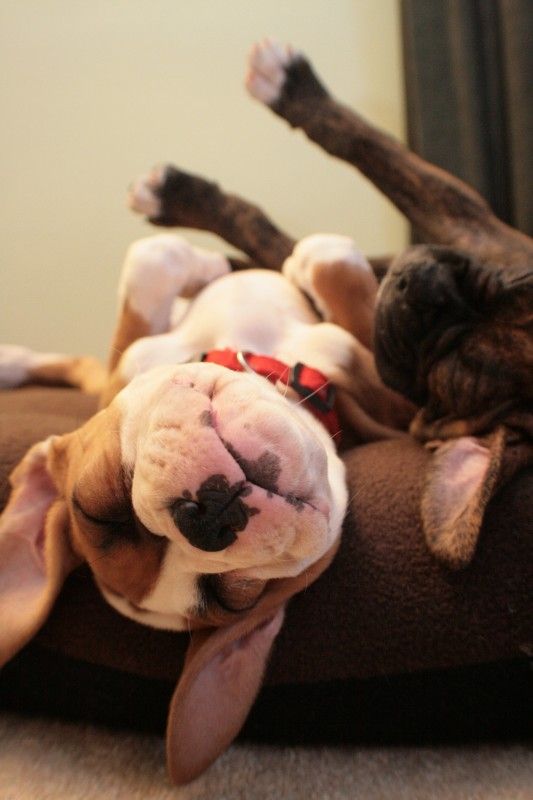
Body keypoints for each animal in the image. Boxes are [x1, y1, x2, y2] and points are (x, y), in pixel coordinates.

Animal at [1, 40, 532, 784]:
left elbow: (157, 262)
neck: (260, 355)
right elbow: (312, 263)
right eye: (235, 598)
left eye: (98, 509)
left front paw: (207, 261)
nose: (207, 516)